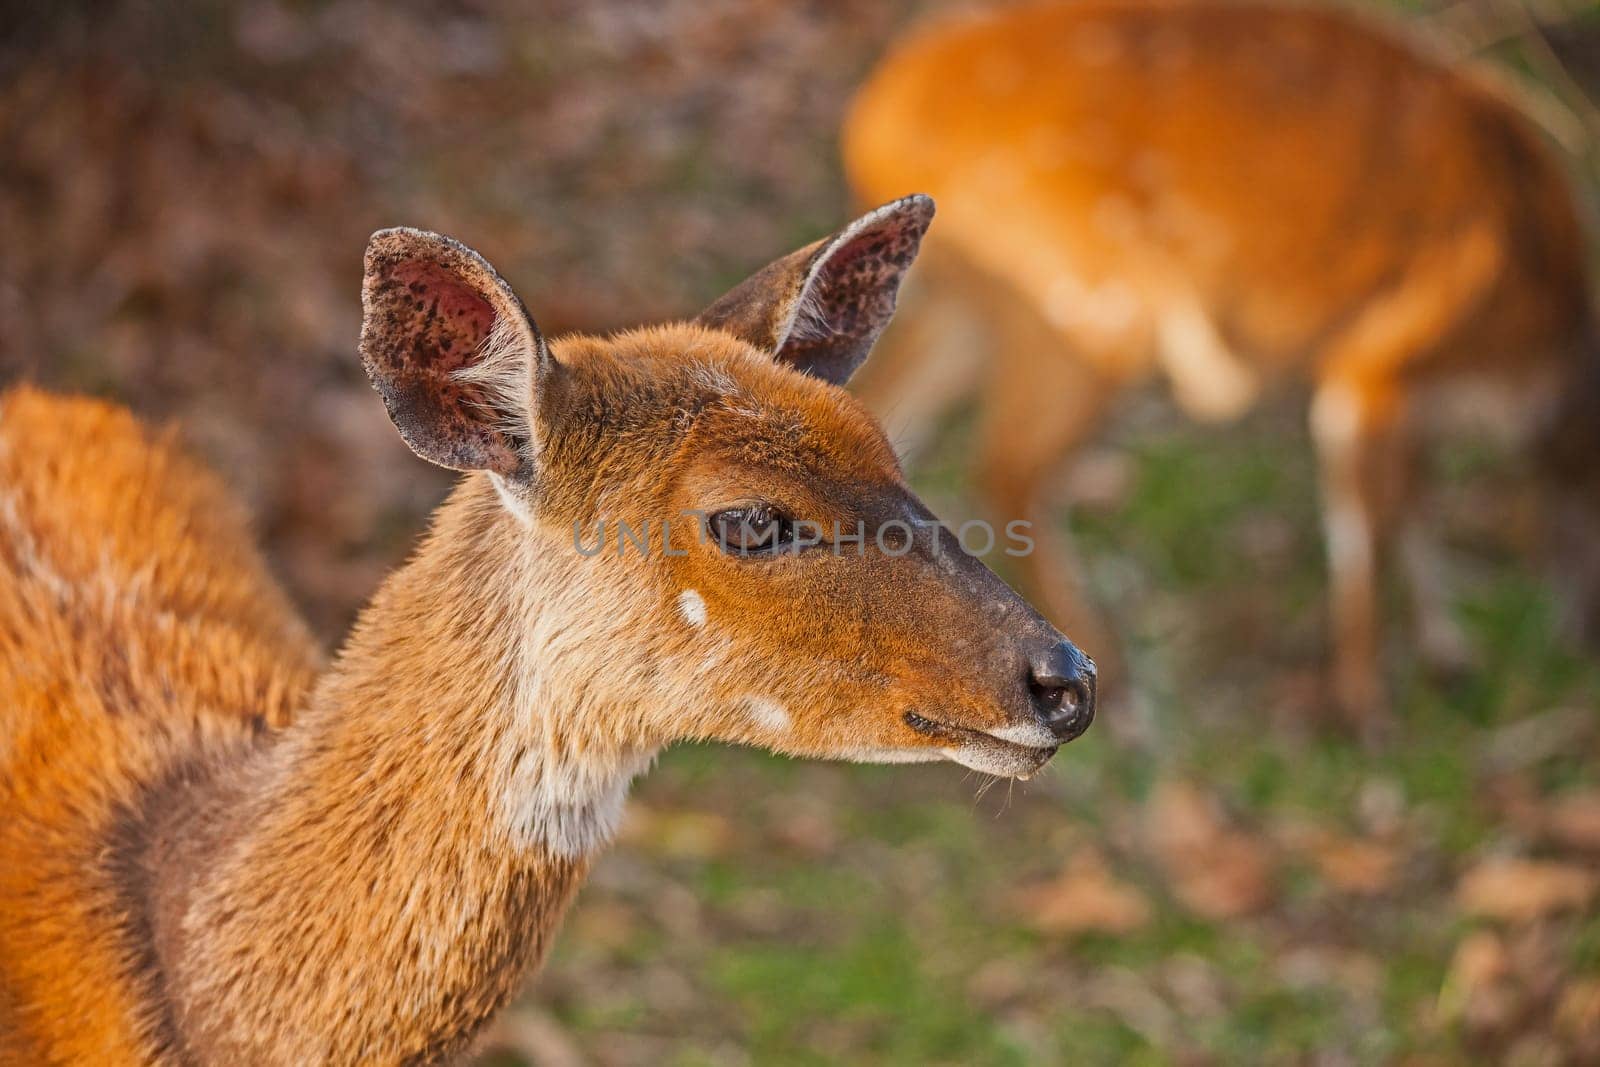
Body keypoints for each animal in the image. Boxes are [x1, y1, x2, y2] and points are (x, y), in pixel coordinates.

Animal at [844, 0, 1593, 735]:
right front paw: (1368, 712)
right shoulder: (1377, 358)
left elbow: (1417, 501)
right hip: (1089, 303)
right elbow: (1364, 529)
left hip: (979, 304)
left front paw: (1448, 655)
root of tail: (875, 121)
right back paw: (1118, 695)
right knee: (1008, 465)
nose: (1573, 634)